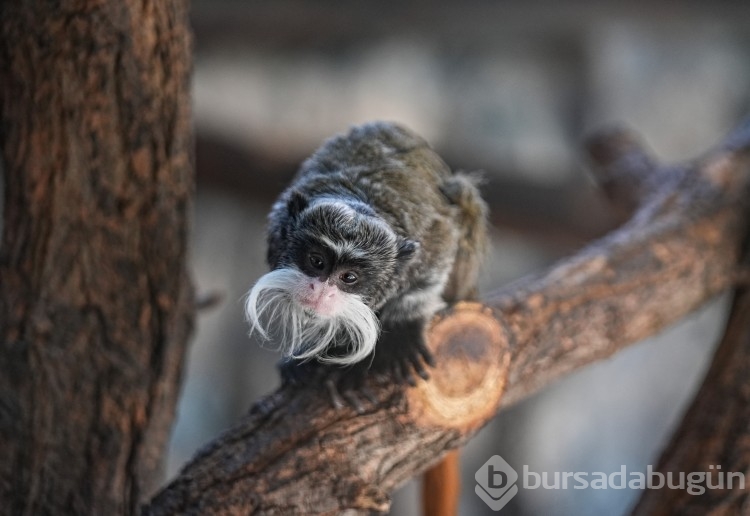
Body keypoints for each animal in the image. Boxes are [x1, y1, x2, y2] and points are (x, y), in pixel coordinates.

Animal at [245, 122, 488, 400]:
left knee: (463, 194)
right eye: (317, 262)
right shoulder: (278, 224)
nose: (321, 291)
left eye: (349, 277)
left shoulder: (432, 240)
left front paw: (401, 331)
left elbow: (432, 270)